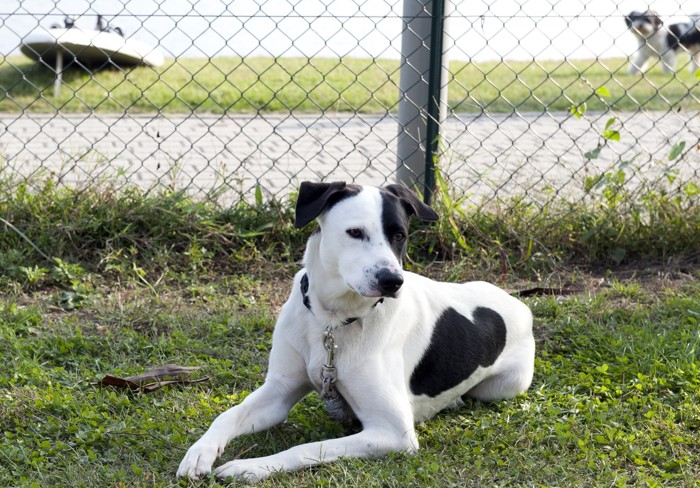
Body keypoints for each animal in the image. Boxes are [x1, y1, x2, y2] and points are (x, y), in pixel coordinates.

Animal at [176, 182, 536, 480]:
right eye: (354, 232)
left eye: (400, 235)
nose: (392, 281)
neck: (333, 322)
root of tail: (518, 305)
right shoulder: (278, 390)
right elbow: (227, 415)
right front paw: (200, 452)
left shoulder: (393, 432)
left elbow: (312, 447)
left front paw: (251, 467)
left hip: (504, 386)